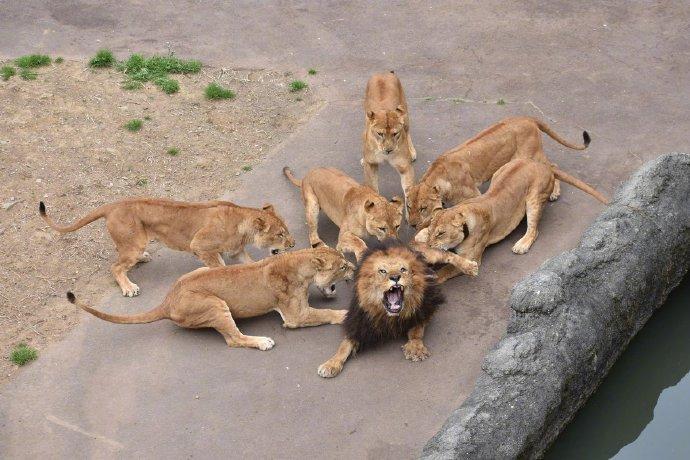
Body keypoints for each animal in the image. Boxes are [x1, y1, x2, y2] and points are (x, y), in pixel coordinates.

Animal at [39, 199, 292, 296]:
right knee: (116, 266)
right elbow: (218, 266)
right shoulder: (200, 245)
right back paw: (129, 287)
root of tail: (112, 205)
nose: (293, 243)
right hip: (134, 243)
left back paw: (143, 258)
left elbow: (248, 263)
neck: (242, 224)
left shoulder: (237, 250)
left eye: (286, 230)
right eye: (280, 234)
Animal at [68, 248, 354, 348]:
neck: (300, 263)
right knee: (233, 340)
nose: (353, 266)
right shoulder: (294, 316)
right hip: (215, 304)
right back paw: (262, 342)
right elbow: (324, 314)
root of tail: (167, 300)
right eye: (342, 266)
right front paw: (344, 314)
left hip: (202, 271)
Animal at [316, 241, 440, 378]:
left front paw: (415, 348)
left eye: (403, 269)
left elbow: (416, 331)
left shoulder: (424, 309)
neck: (390, 316)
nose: (395, 277)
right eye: (382, 271)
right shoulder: (359, 323)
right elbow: (344, 346)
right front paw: (331, 364)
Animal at [406, 117, 588, 228]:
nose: (412, 225)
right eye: (409, 207)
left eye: (423, 208)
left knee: (553, 166)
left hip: (530, 155)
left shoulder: (474, 194)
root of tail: (527, 118)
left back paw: (554, 193)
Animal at [416, 158, 604, 282]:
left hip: (534, 198)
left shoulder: (472, 258)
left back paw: (522, 244)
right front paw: (421, 237)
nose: (430, 245)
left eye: (441, 233)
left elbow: (447, 269)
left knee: (534, 230)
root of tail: (542, 164)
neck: (466, 214)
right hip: (501, 170)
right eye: (432, 231)